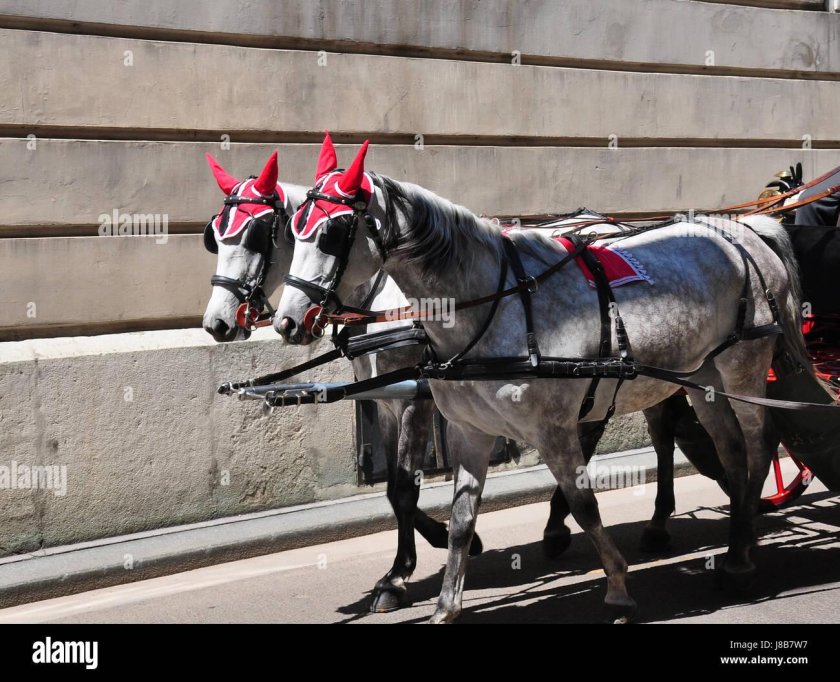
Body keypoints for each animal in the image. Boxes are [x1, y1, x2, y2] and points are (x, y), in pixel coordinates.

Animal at [276, 139, 809, 623]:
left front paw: (616, 586)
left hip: (743, 367)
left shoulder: (551, 429)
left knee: (759, 443)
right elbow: (460, 519)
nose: (287, 321)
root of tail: (746, 230)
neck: (493, 306)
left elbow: (584, 502)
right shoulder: (469, 431)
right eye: (293, 231)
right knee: (731, 450)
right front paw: (447, 604)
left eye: (332, 233)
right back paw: (736, 537)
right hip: (702, 377)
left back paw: (740, 554)